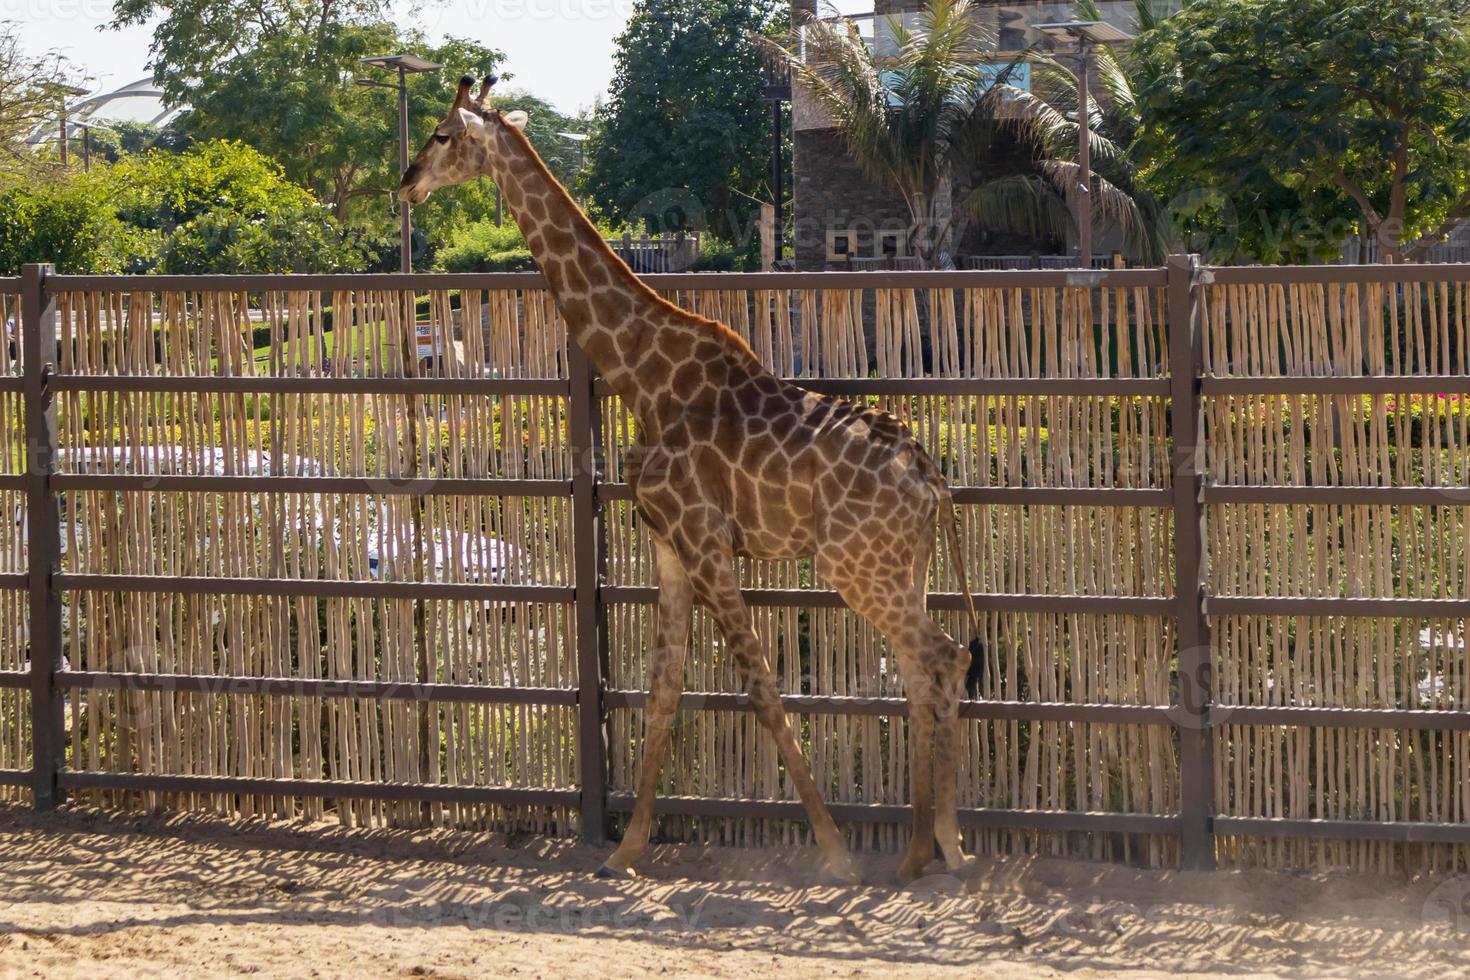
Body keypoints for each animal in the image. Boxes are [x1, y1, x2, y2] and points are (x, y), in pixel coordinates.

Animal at [399, 74, 987, 887]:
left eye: (444, 134)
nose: (406, 184)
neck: (642, 378)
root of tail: (929, 474)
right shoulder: (669, 546)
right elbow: (663, 690)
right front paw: (627, 850)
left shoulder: (705, 540)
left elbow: (763, 687)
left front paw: (834, 853)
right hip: (902, 567)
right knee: (920, 666)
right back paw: (914, 852)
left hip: (854, 567)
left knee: (944, 657)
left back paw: (949, 846)